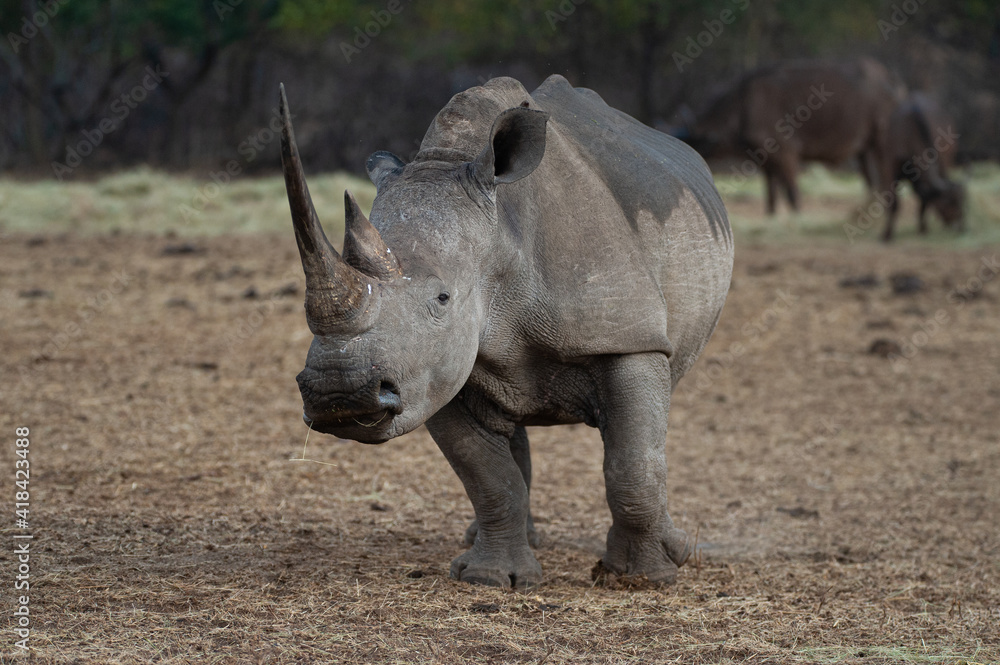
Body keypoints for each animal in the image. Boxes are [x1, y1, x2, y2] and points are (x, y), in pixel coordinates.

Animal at [278, 75, 733, 588]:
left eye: (442, 298)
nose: (339, 393)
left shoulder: (626, 339)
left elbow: (632, 464)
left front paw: (640, 579)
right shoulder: (433, 372)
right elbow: (486, 474)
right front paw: (492, 578)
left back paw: (678, 551)